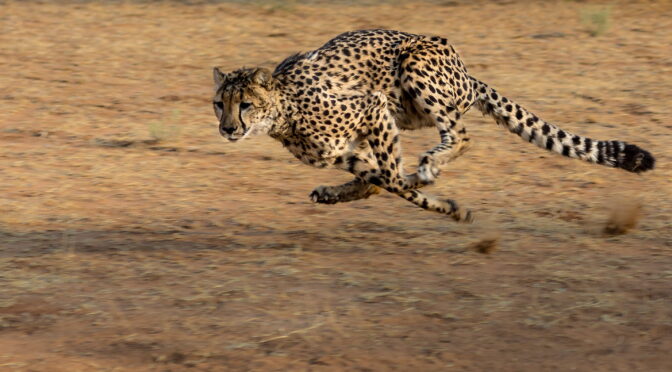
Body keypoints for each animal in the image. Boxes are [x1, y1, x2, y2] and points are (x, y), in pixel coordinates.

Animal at [214, 29, 656, 221]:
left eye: (246, 105)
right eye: (220, 104)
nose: (228, 129)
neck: (284, 111)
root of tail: (466, 71)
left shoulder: (373, 106)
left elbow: (392, 179)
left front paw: (443, 202)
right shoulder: (344, 151)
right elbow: (381, 180)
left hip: (415, 69)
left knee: (460, 135)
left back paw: (429, 165)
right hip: (406, 112)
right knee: (383, 176)